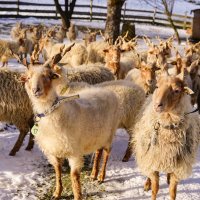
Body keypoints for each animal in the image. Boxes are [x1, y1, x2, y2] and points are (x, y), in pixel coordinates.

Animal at [22, 61, 121, 200]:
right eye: (28, 78)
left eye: (48, 76)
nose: (36, 90)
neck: (53, 112)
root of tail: (108, 92)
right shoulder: (53, 150)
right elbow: (57, 171)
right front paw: (57, 193)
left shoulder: (74, 152)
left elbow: (74, 177)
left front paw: (77, 195)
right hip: (98, 135)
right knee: (98, 152)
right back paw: (94, 174)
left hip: (109, 134)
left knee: (106, 153)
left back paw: (101, 176)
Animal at [132, 71, 199, 199]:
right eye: (157, 86)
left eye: (177, 90)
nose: (157, 105)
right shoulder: (153, 161)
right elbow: (155, 189)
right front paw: (151, 189)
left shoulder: (178, 167)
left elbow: (173, 192)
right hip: (146, 153)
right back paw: (147, 184)